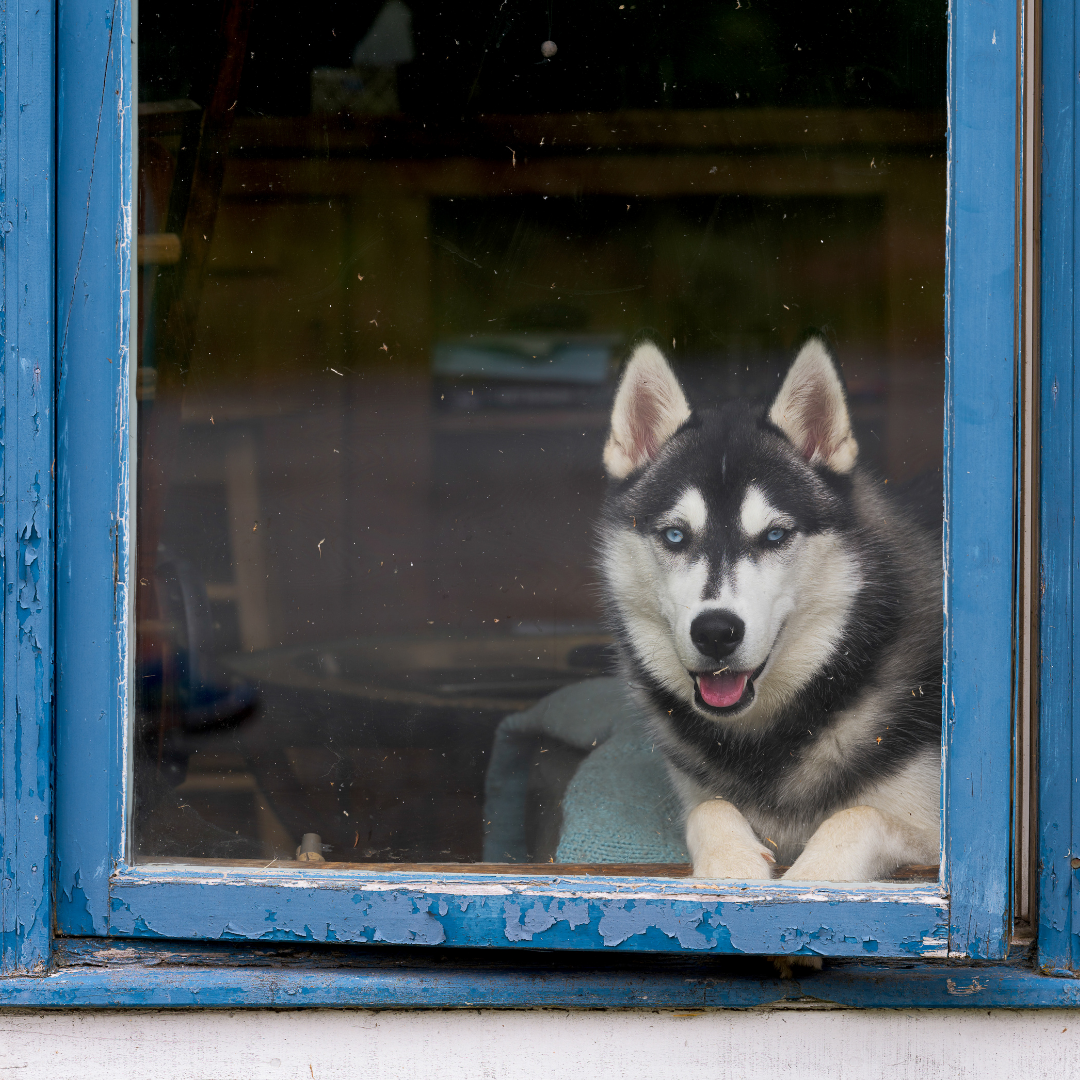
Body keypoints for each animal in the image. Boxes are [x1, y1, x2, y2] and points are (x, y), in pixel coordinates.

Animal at [596, 336, 941, 876]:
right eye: (675, 535)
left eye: (775, 535)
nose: (716, 631)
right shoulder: (699, 795)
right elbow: (710, 808)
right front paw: (731, 867)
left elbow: (856, 816)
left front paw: (816, 877)